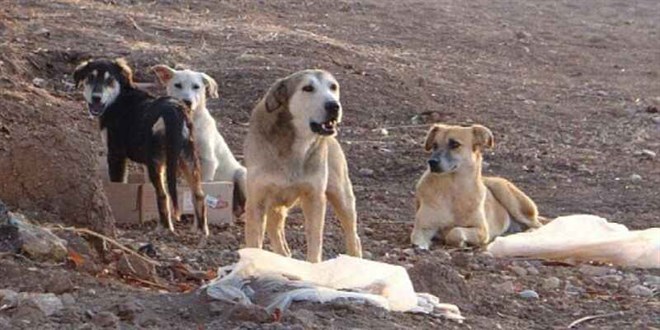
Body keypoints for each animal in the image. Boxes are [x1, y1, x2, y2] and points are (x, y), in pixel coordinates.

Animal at [72, 58, 208, 236]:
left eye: (109, 80)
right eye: (90, 77)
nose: (96, 98)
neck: (119, 98)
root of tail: (173, 110)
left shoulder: (116, 154)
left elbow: (119, 184)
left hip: (156, 162)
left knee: (163, 194)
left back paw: (165, 228)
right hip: (188, 158)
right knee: (199, 194)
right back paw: (202, 231)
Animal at [245, 69, 364, 262]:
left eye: (333, 87)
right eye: (307, 88)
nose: (334, 106)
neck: (294, 146)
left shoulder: (314, 197)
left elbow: (315, 241)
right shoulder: (257, 199)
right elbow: (255, 242)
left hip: (342, 196)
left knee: (353, 236)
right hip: (274, 206)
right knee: (278, 237)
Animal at [412, 124, 540, 250]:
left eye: (455, 144)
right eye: (434, 145)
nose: (432, 162)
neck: (454, 189)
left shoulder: (482, 230)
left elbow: (455, 231)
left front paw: (461, 242)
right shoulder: (422, 227)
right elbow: (418, 238)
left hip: (506, 194)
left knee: (538, 224)